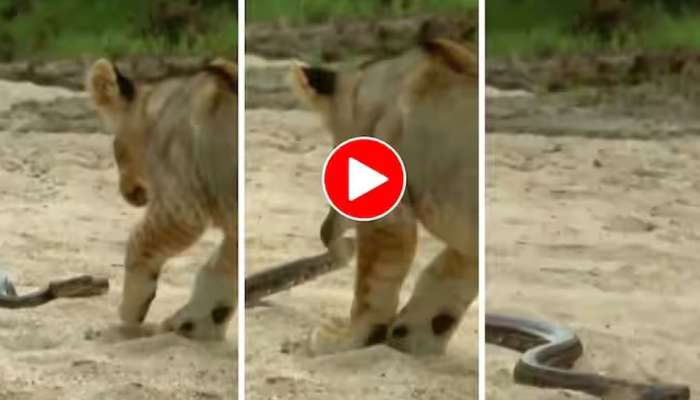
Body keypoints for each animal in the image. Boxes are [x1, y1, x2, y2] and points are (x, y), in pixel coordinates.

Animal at [86, 58, 238, 340]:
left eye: (116, 148)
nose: (126, 191)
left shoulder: (181, 208)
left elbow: (137, 243)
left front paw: (130, 314)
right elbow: (220, 271)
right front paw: (195, 327)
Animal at [289, 37, 477, 355]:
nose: (324, 232)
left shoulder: (387, 217)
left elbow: (373, 283)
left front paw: (343, 340)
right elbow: (446, 275)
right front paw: (413, 336)